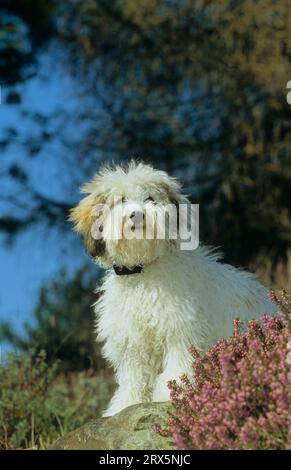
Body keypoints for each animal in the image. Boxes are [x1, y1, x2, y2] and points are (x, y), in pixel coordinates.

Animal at [69, 162, 278, 414]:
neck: (143, 271)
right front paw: (126, 404)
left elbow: (179, 365)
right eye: (121, 200)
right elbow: (133, 378)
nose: (137, 214)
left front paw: (172, 393)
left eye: (150, 198)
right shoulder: (133, 344)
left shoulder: (181, 331)